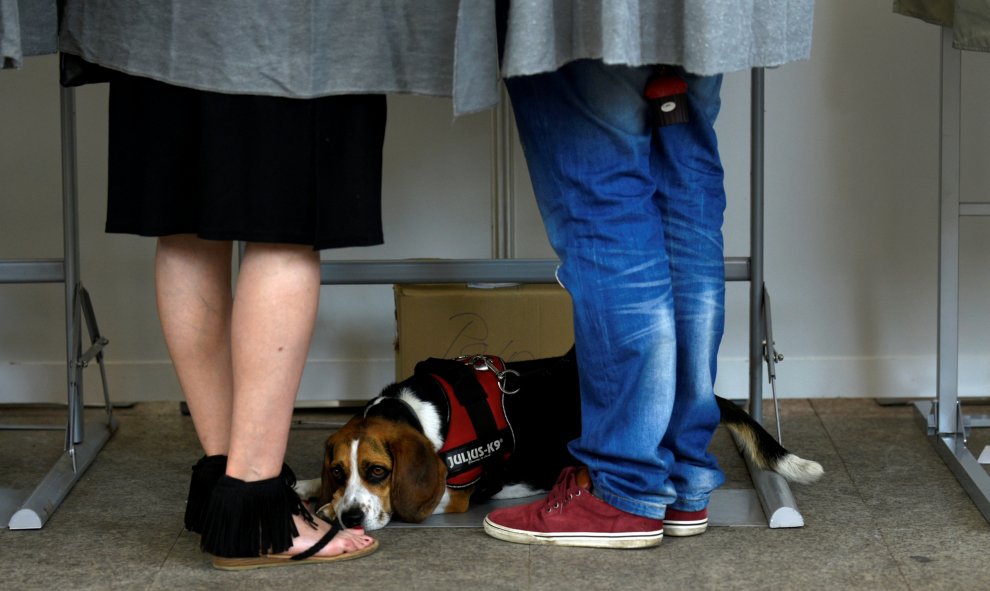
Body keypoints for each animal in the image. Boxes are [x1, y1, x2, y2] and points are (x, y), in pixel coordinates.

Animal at [294, 350, 820, 528]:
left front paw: (327, 509)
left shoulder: (452, 494)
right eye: (339, 470)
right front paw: (309, 490)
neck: (413, 411)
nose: (352, 518)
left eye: (378, 472)